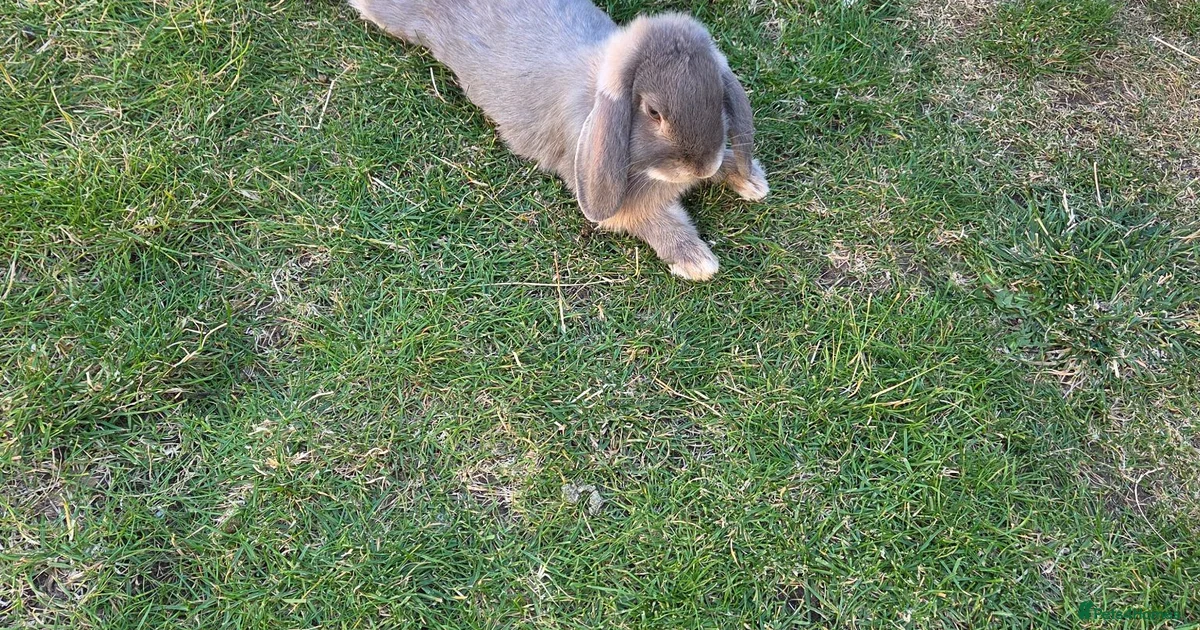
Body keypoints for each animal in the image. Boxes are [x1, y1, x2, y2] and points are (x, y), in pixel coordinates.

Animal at [349, 0, 769, 281]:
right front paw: (698, 262)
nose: (701, 166)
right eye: (653, 112)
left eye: (717, 96)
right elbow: (660, 224)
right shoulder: (624, 205)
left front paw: (751, 182)